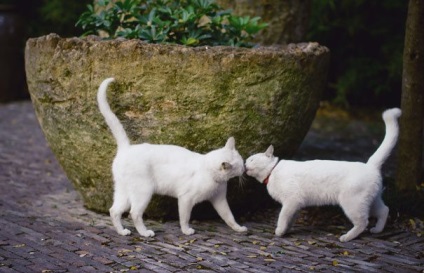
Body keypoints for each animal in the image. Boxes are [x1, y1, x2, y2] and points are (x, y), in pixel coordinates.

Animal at [97, 76, 247, 236]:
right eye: (240, 165)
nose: (245, 169)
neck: (213, 176)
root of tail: (126, 148)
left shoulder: (220, 200)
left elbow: (229, 217)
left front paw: (239, 228)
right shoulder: (186, 198)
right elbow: (185, 217)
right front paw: (186, 231)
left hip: (124, 191)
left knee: (114, 210)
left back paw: (122, 232)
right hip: (143, 191)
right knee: (134, 213)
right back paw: (145, 233)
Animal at [245, 107, 400, 241]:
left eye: (251, 159)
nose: (245, 163)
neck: (272, 172)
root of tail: (370, 165)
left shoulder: (291, 201)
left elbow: (282, 217)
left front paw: (279, 231)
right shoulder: (296, 205)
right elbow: (290, 219)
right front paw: (286, 231)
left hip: (352, 203)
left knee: (363, 222)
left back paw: (346, 237)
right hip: (372, 201)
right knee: (385, 210)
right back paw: (377, 230)